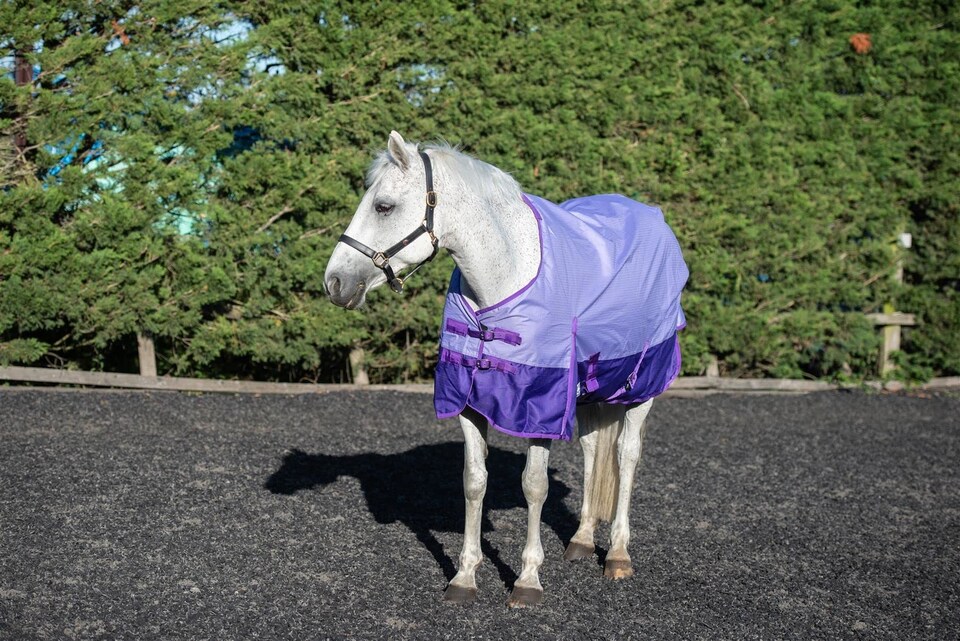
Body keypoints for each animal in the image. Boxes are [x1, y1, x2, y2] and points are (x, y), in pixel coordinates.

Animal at [324, 131, 688, 607]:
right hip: (592, 387)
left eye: (383, 206)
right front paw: (464, 576)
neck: (504, 277)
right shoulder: (468, 403)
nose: (333, 283)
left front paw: (528, 579)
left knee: (627, 455)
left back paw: (618, 555)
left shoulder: (540, 407)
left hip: (641, 384)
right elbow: (473, 481)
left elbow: (534, 485)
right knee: (593, 451)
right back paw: (582, 539)